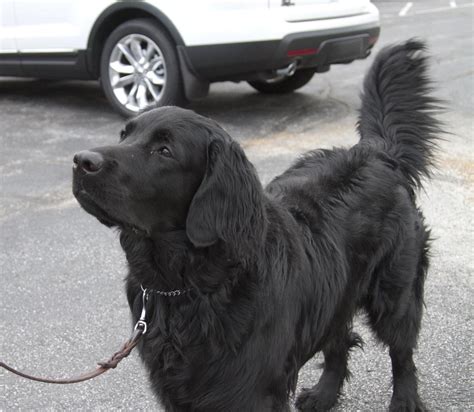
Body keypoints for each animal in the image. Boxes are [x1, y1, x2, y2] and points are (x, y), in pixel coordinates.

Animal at [73, 40, 440, 410]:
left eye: (164, 150)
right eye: (124, 135)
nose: (81, 161)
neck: (193, 285)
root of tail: (377, 153)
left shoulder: (253, 391)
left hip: (394, 294)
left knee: (402, 352)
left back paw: (405, 399)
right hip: (337, 292)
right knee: (340, 339)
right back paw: (324, 393)